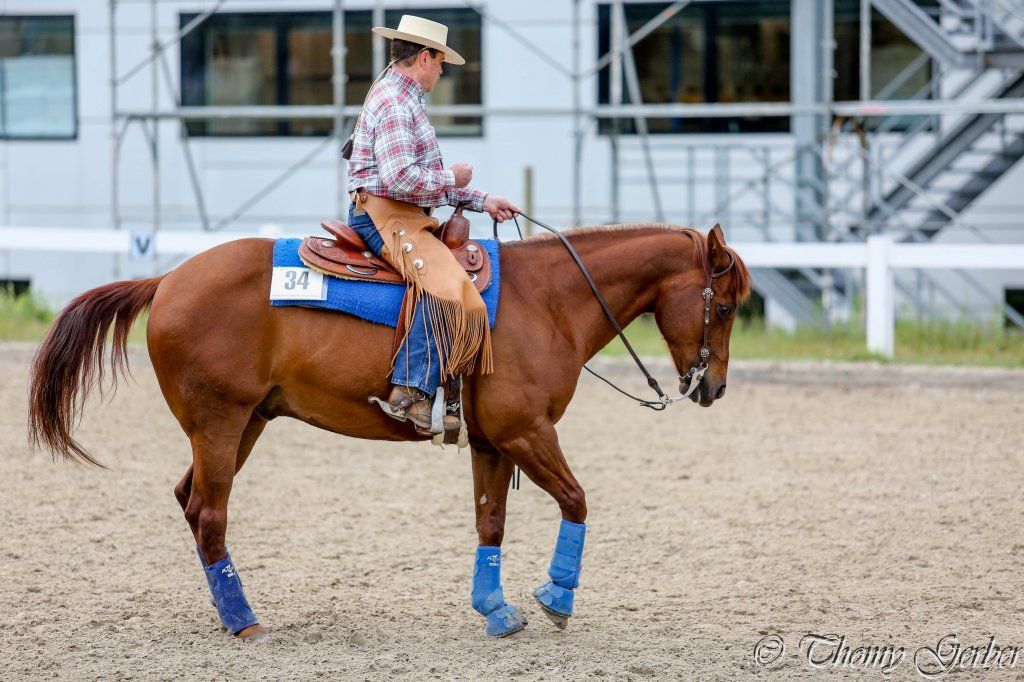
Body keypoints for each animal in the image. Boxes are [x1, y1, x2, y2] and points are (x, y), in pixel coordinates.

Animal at [28, 221, 750, 640]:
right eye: (726, 305)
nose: (712, 388)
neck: (546, 301)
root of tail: (167, 279)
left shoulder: (492, 442)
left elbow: (491, 523)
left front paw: (496, 610)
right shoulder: (526, 432)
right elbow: (577, 500)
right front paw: (556, 596)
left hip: (244, 425)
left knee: (189, 502)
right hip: (220, 424)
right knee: (208, 513)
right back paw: (245, 624)